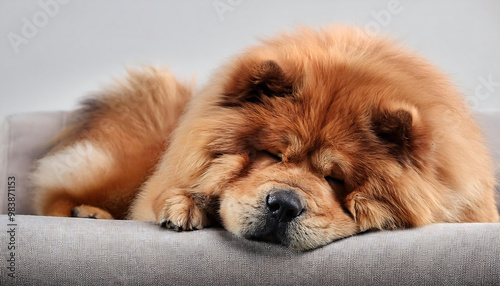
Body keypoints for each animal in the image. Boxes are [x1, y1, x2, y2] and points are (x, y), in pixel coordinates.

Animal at [31, 25, 496, 249]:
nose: (284, 205)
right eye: (272, 154)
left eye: (335, 179)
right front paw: (186, 204)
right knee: (54, 192)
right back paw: (88, 215)